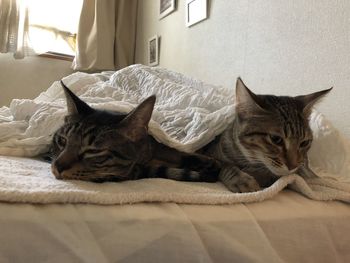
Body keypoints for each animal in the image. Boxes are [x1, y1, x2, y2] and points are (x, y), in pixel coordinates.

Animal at [49, 82, 219, 184]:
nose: (57, 166)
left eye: (94, 151)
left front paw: (205, 161)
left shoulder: (156, 146)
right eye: (62, 141)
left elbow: (176, 153)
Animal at [201, 77, 332, 193]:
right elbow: (226, 166)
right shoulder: (212, 154)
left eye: (304, 143)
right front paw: (241, 179)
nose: (292, 166)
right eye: (276, 139)